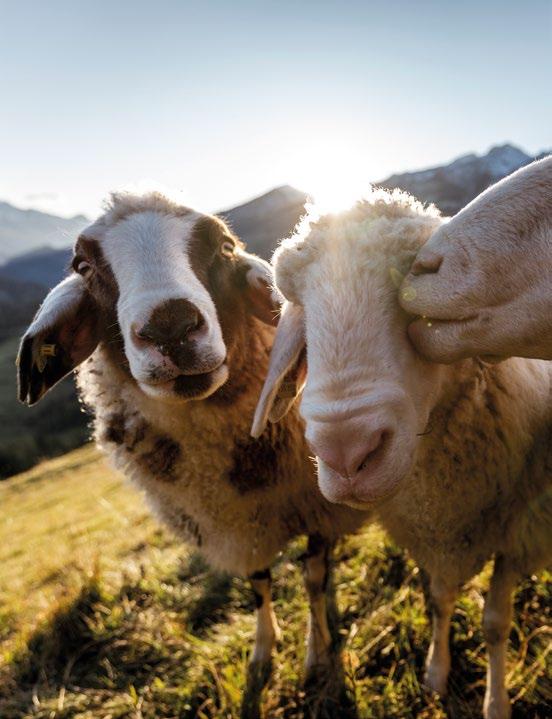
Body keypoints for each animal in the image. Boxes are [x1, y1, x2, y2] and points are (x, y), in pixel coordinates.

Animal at [17, 191, 370, 683]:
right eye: (83, 266)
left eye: (223, 246)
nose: (170, 325)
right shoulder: (237, 526)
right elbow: (258, 583)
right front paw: (263, 651)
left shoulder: (317, 509)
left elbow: (313, 578)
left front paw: (316, 653)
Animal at [252, 188, 552, 719]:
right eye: (300, 306)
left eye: (406, 283)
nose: (347, 452)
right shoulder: (436, 532)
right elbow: (440, 598)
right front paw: (436, 671)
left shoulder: (518, 533)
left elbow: (495, 623)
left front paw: (495, 702)